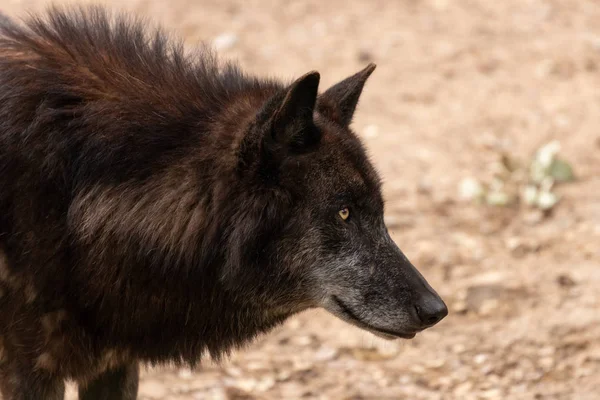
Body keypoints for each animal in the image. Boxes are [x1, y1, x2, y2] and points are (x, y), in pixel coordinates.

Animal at [0, 4, 446, 398]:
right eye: (344, 213)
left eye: (380, 213)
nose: (437, 310)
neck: (73, 197)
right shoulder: (30, 373)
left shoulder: (115, 364)